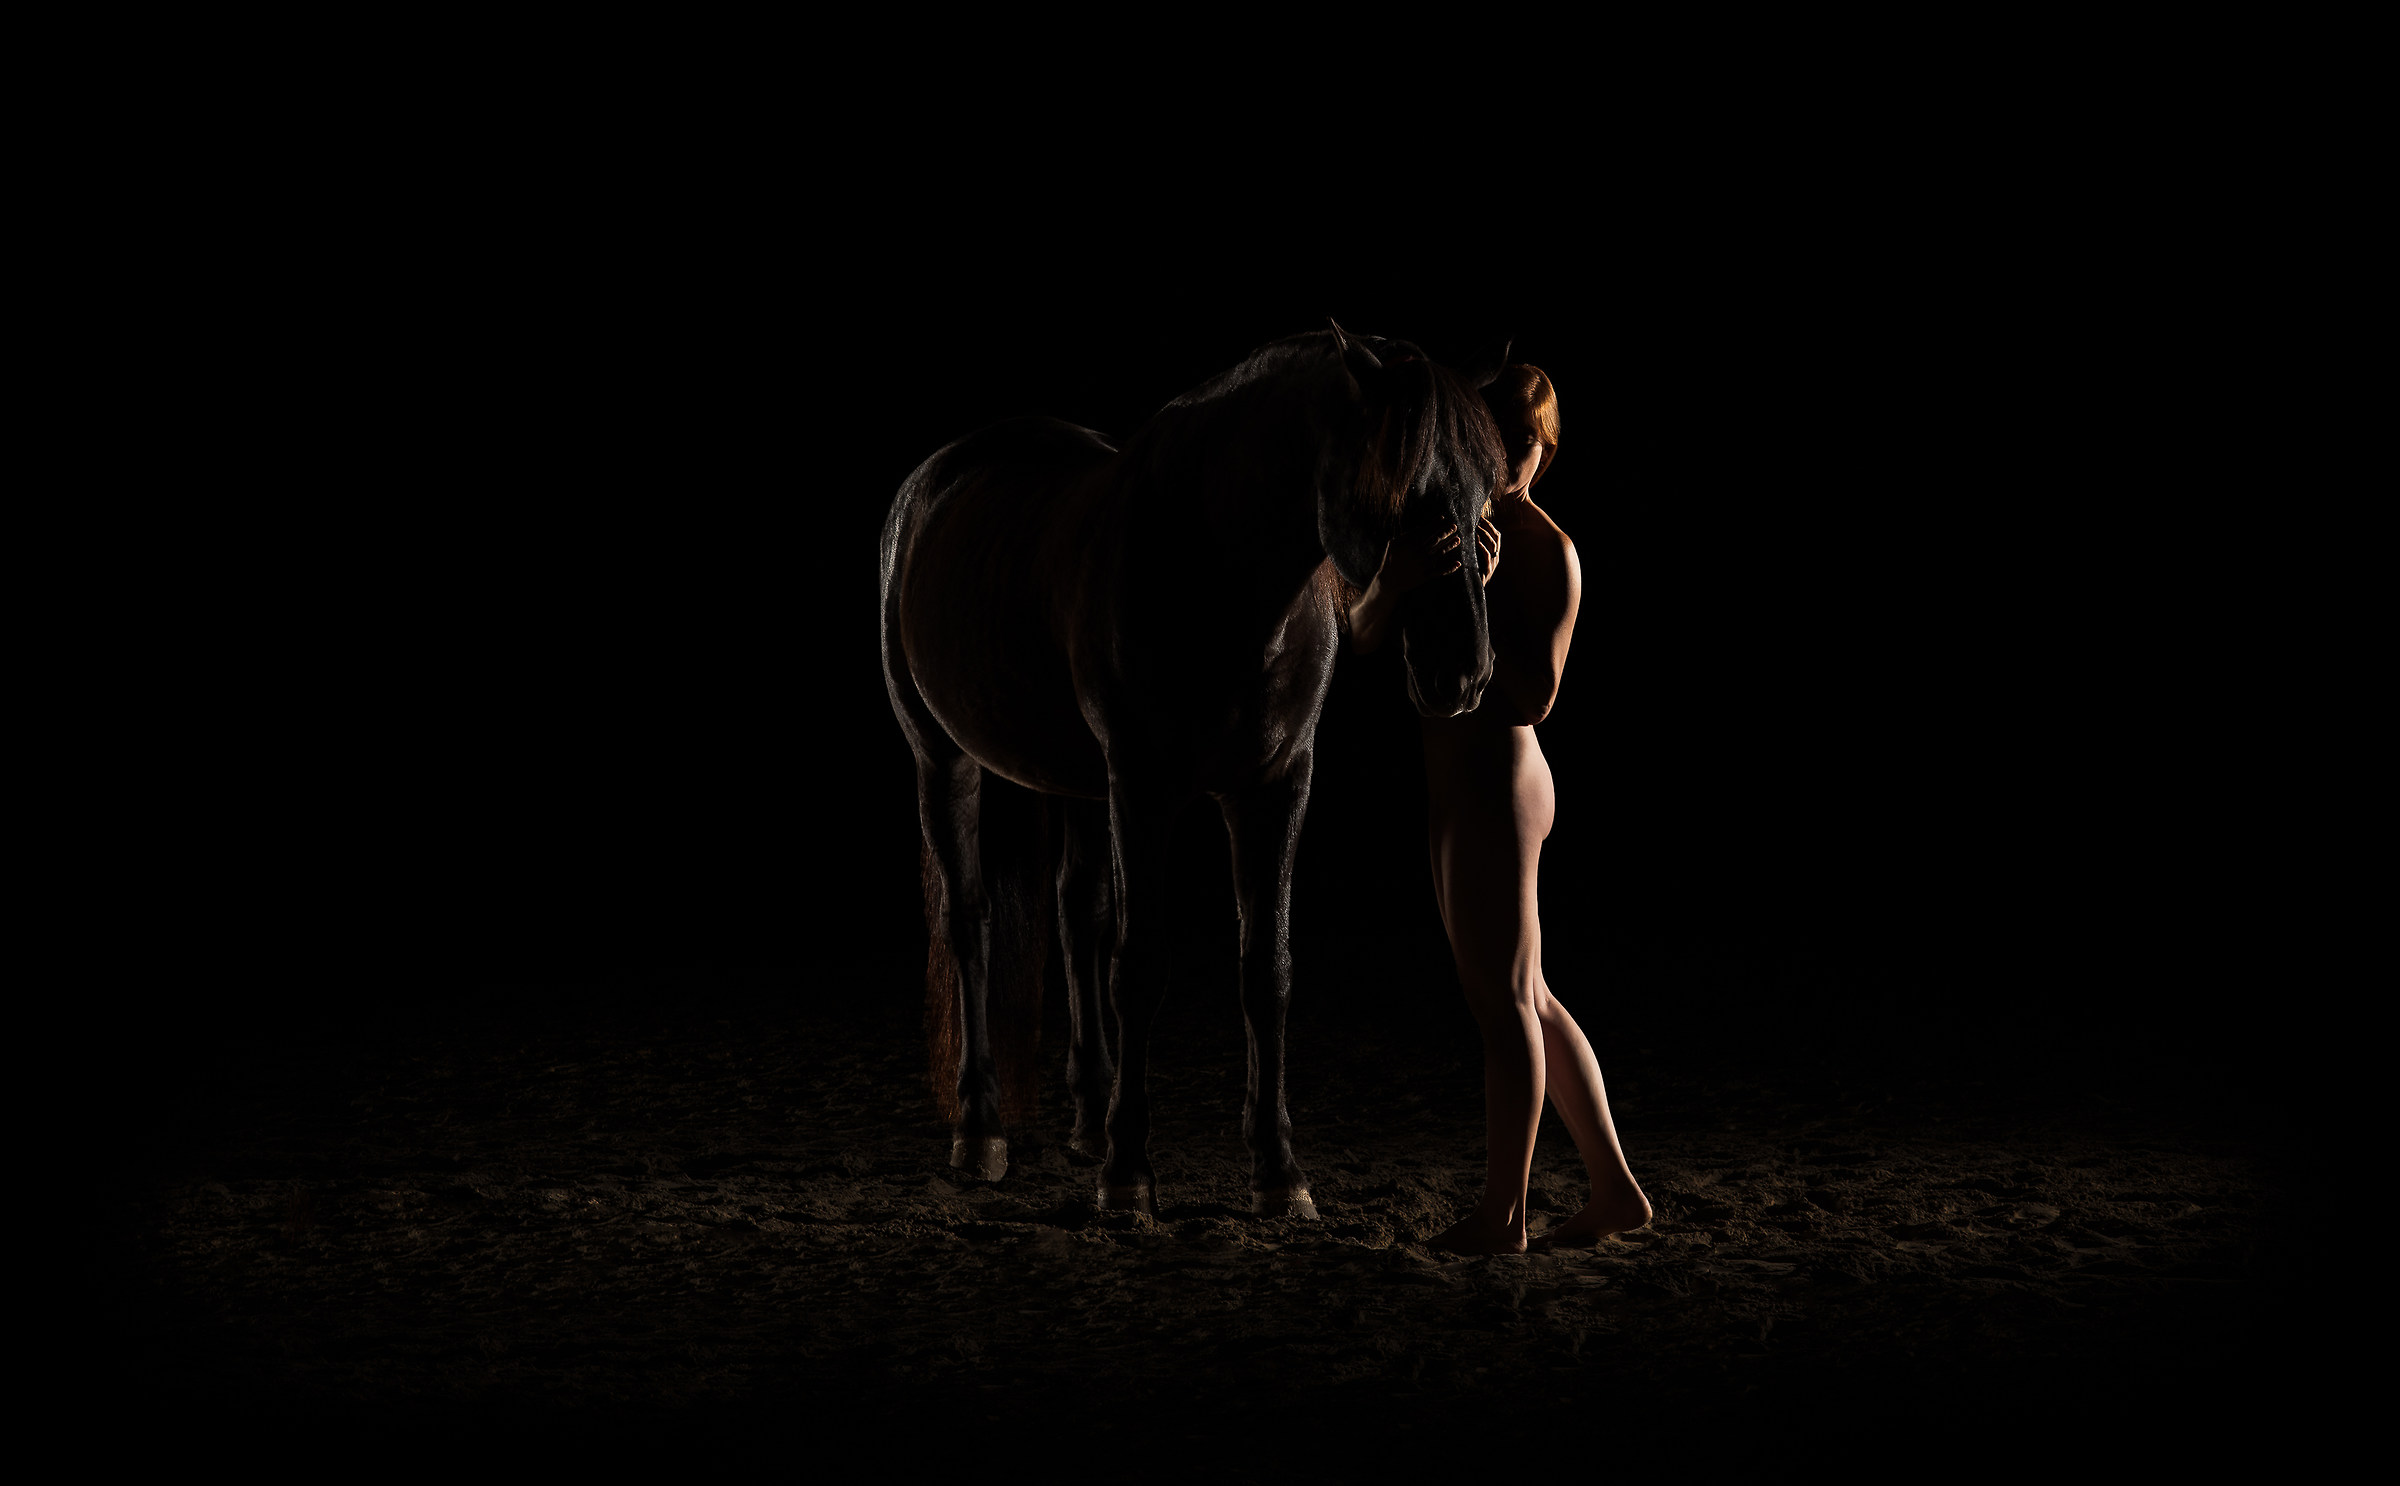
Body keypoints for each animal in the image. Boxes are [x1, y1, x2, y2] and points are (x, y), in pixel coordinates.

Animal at [879, 323, 1508, 1217]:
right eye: (1408, 491)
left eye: (1487, 499)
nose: (1467, 672)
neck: (1218, 574)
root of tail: (931, 484)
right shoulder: (1144, 790)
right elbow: (1138, 965)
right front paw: (1128, 1173)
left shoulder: (1275, 788)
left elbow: (1265, 968)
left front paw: (1279, 1172)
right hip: (943, 760)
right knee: (970, 927)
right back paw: (981, 1133)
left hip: (1079, 783)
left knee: (1077, 917)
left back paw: (1087, 1118)